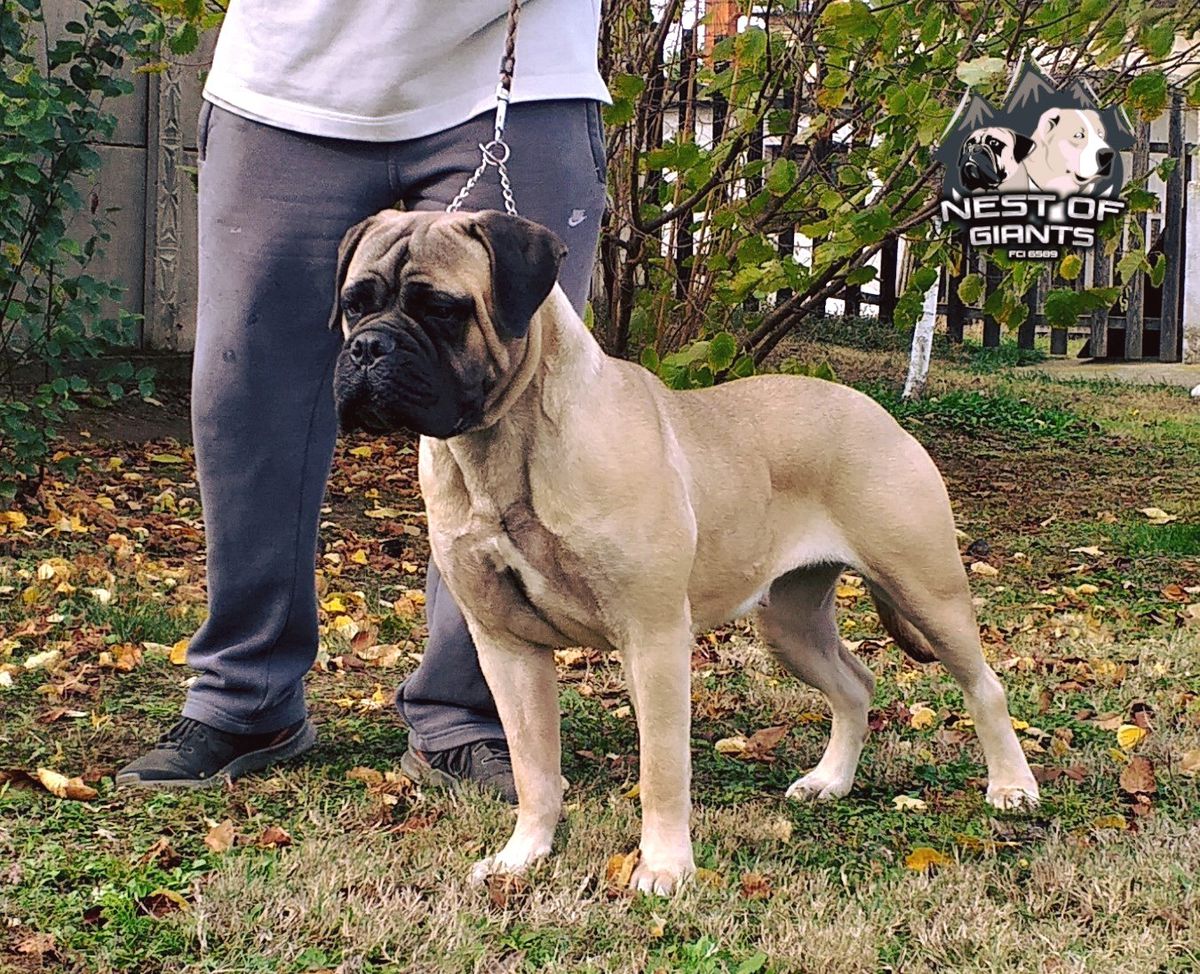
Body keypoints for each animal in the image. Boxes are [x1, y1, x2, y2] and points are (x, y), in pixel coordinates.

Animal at [331, 208, 1041, 892]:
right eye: (354, 303)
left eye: (441, 309)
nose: (366, 347)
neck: (502, 444)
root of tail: (878, 412)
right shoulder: (507, 646)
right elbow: (535, 768)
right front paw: (522, 857)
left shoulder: (653, 638)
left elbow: (663, 769)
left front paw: (665, 868)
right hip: (790, 624)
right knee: (854, 686)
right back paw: (830, 781)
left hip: (926, 591)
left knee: (984, 687)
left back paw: (1012, 787)